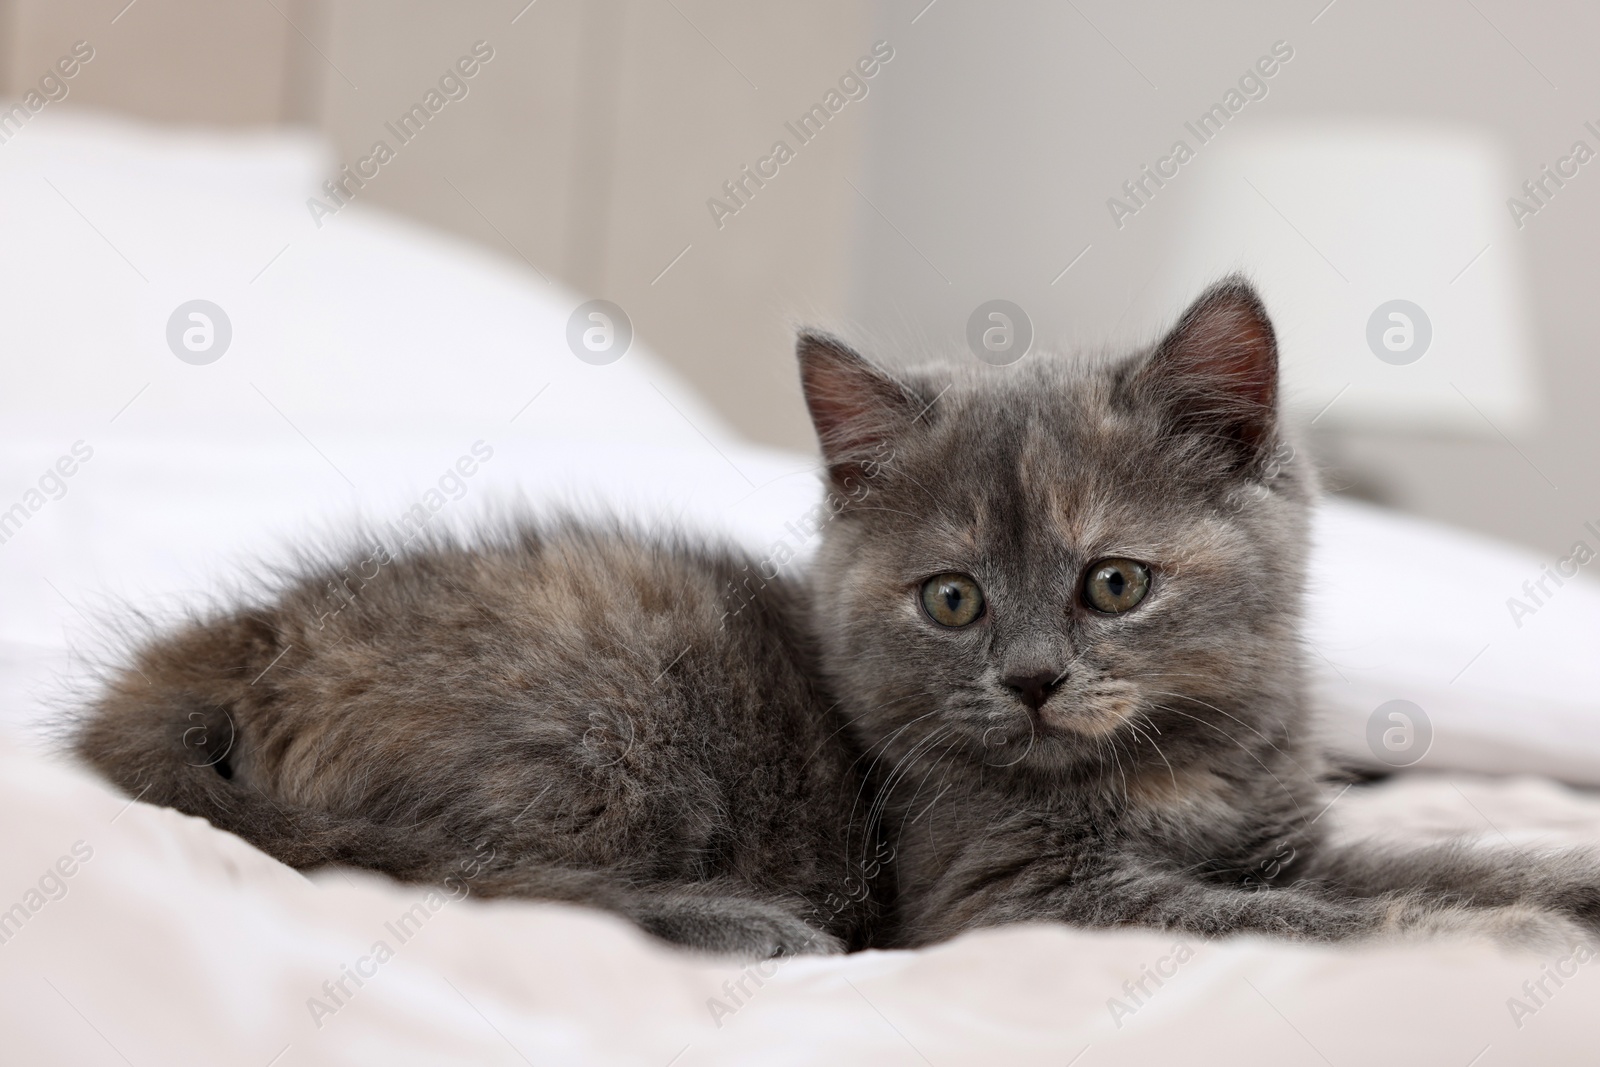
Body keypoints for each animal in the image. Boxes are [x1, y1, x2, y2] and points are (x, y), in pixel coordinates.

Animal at [800, 278, 1600, 953]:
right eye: (952, 598)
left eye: (1115, 583)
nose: (1031, 679)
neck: (1167, 775)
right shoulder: (1002, 895)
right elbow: (1271, 918)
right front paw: (1488, 931)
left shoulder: (1291, 852)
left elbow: (1444, 865)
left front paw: (1564, 888)